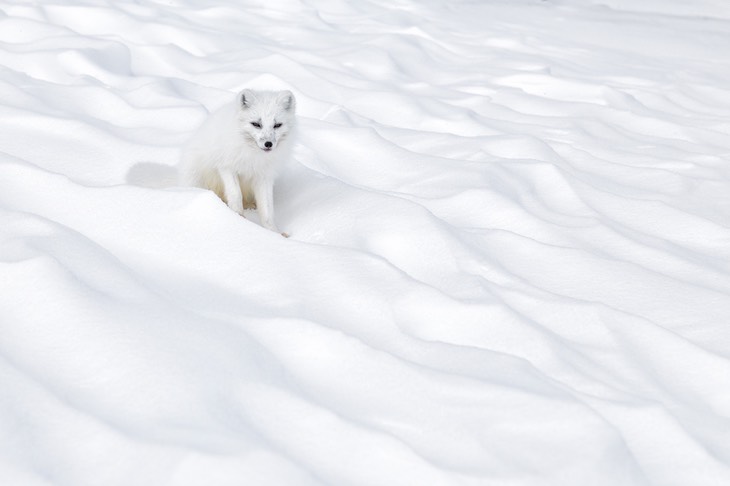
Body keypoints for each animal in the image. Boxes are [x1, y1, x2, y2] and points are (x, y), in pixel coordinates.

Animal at [178, 90, 294, 237]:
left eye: (277, 125)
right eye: (256, 124)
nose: (268, 144)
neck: (253, 154)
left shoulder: (264, 176)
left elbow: (267, 208)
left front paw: (274, 232)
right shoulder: (227, 167)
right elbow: (235, 195)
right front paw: (239, 220)